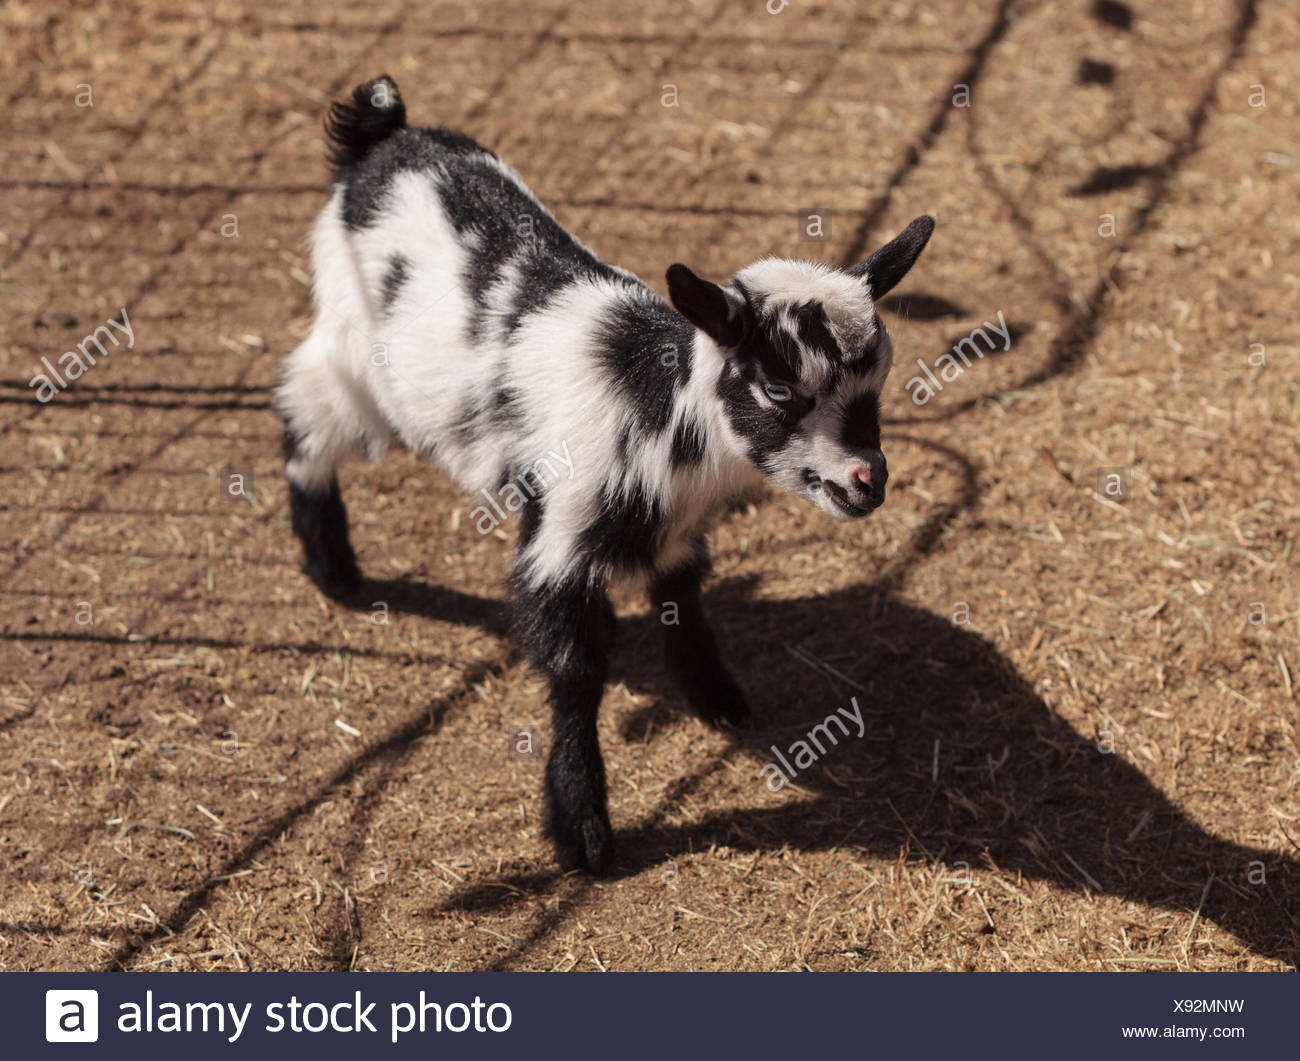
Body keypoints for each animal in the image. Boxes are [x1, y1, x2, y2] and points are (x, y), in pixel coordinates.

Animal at [276, 74, 935, 868]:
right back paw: (332, 566)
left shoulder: (674, 530)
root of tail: (385, 135)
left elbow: (683, 596)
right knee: (304, 416)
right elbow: (573, 674)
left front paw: (716, 696)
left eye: (878, 382)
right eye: (780, 391)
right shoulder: (560, 536)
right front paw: (582, 828)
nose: (868, 478)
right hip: (351, 352)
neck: (654, 410)